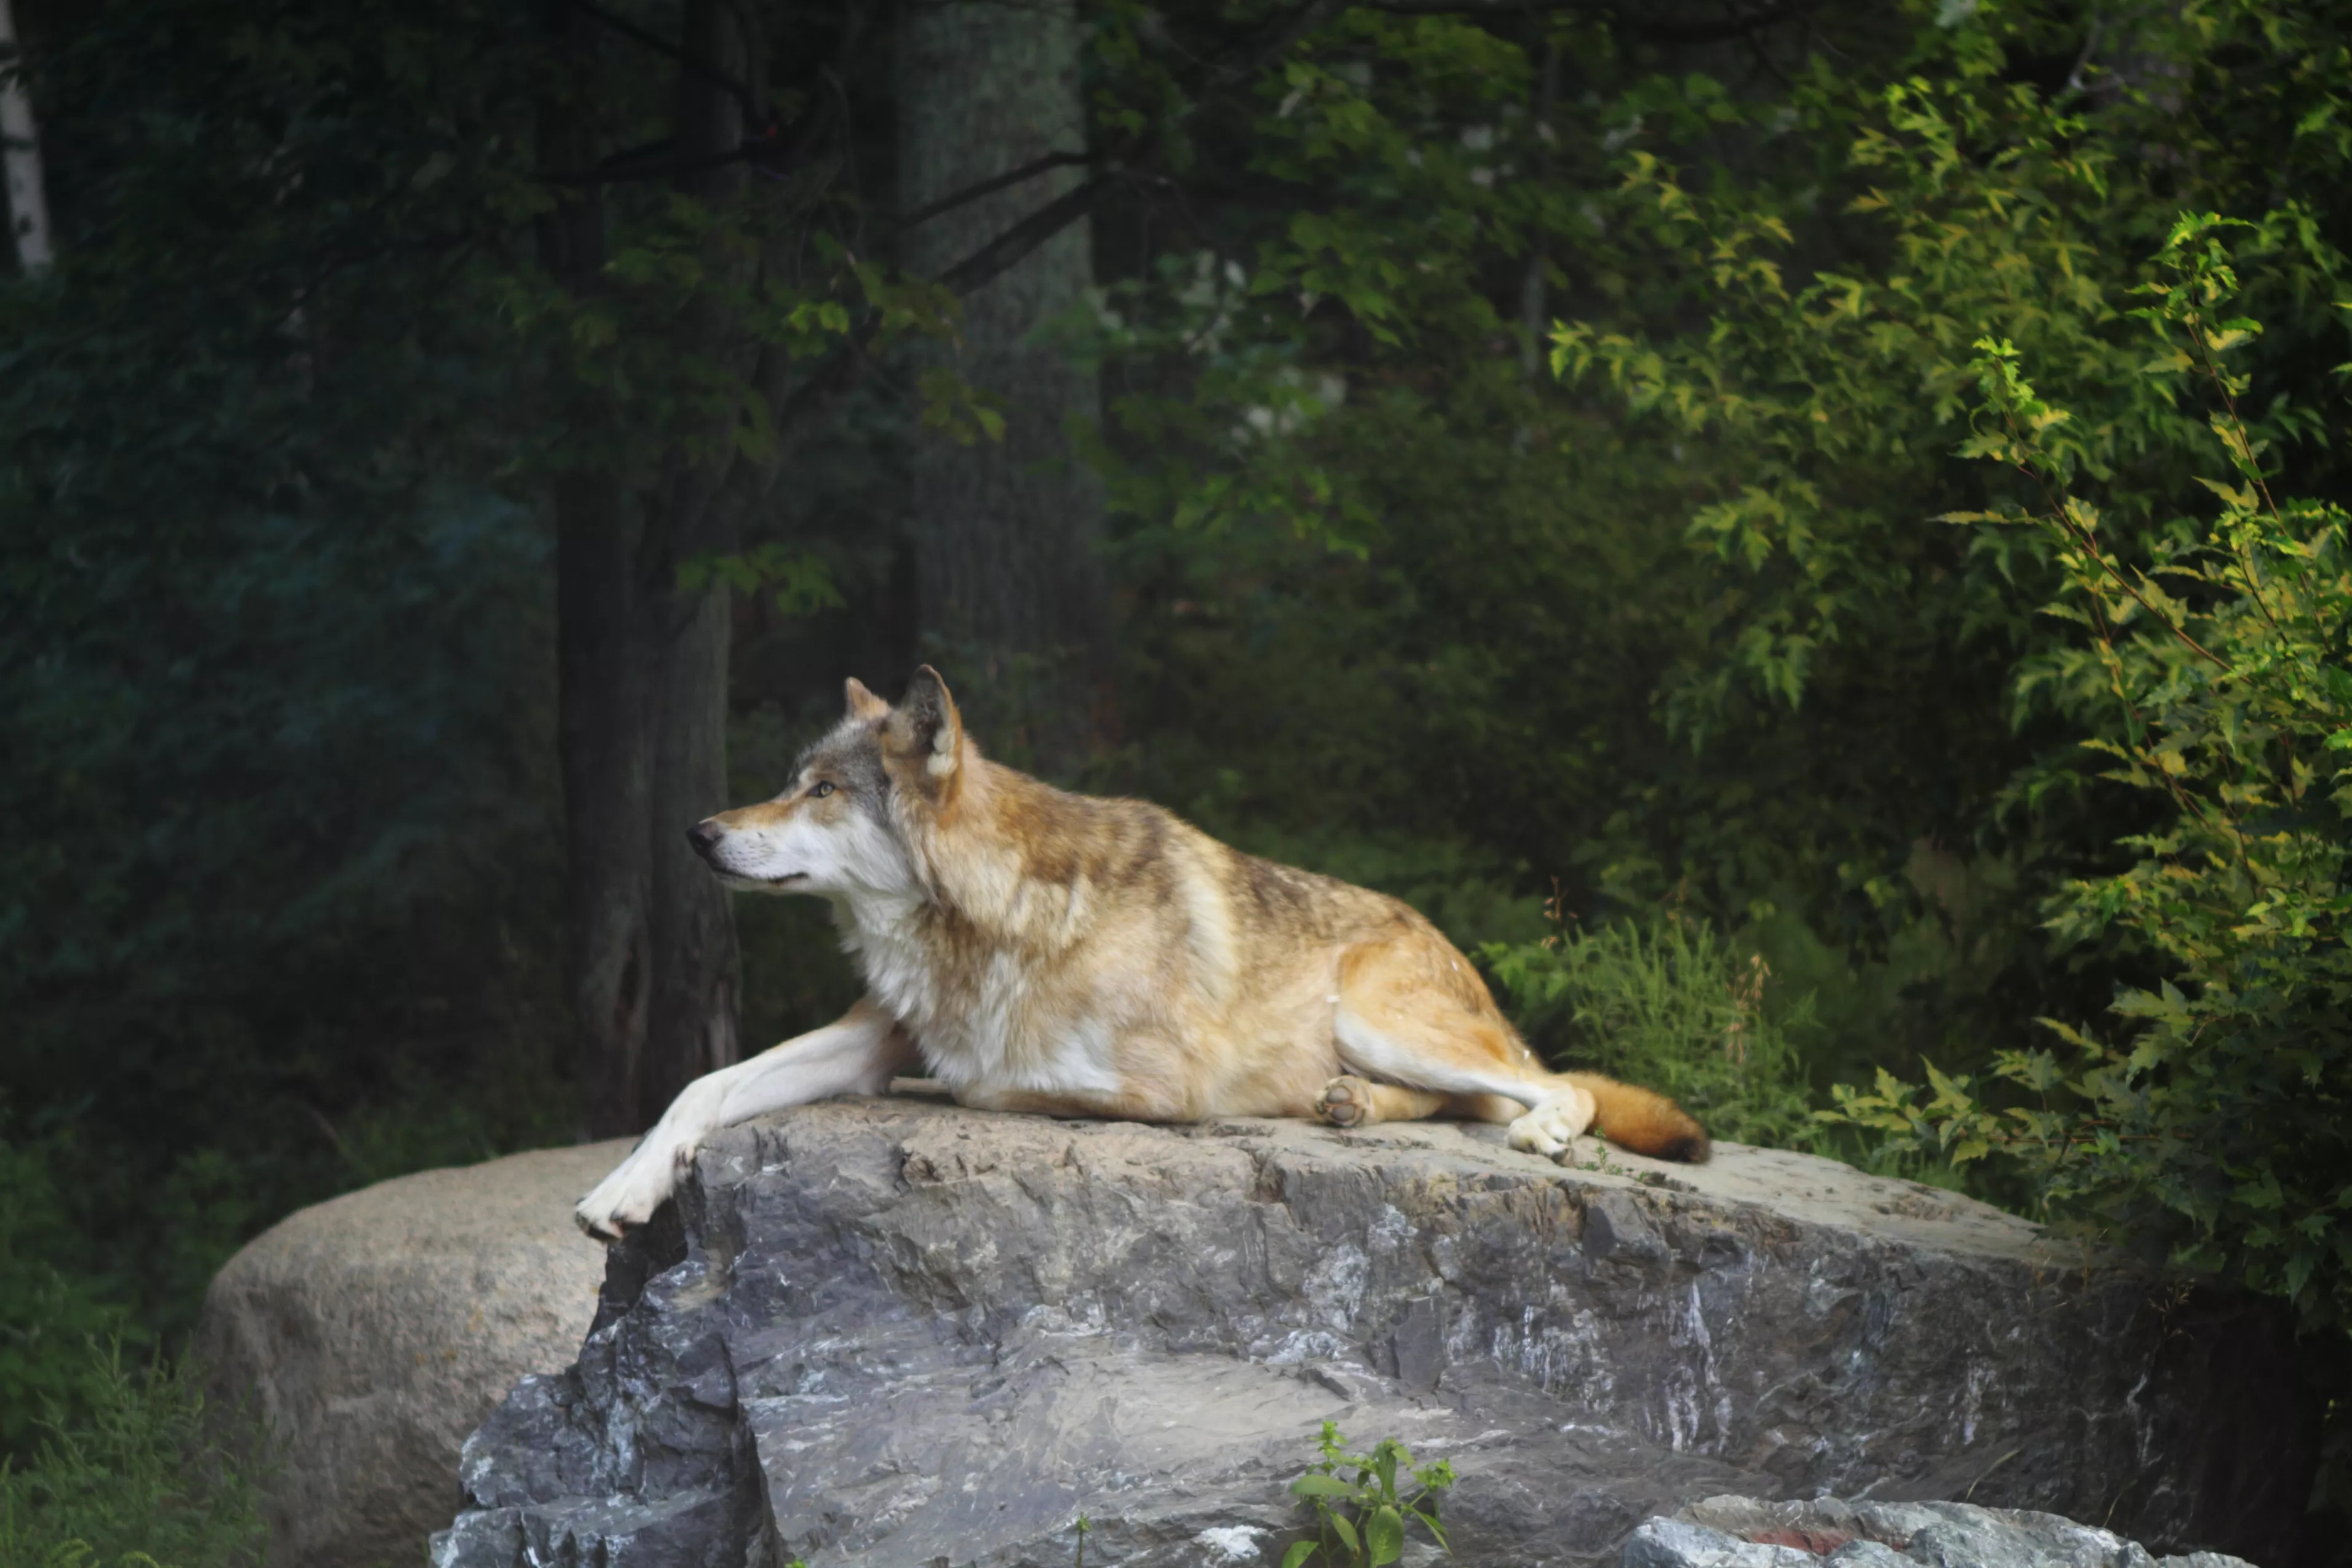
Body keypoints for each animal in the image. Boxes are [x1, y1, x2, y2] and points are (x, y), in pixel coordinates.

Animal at [575, 668, 1706, 1239]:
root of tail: (1443, 939)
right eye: (787, 782)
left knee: (1558, 1086)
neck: (991, 919)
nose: (698, 834)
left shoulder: (1164, 1087)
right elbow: (706, 1083)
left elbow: (978, 1081)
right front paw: (622, 1189)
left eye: (820, 793)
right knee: (1471, 1095)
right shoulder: (872, 1038)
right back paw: (1349, 1106)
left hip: (1376, 1013)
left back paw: (1536, 1129)